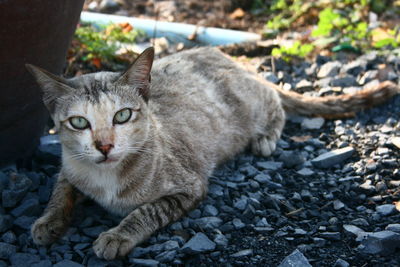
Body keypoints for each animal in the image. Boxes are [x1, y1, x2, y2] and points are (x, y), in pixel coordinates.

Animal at [26, 46, 398, 260]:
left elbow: (145, 212)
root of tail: (231, 58)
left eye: (123, 115)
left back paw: (266, 136)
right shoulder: (69, 166)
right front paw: (48, 223)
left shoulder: (189, 187)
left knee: (276, 100)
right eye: (78, 122)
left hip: (253, 103)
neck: (106, 178)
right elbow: (61, 191)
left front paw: (117, 236)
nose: (104, 146)